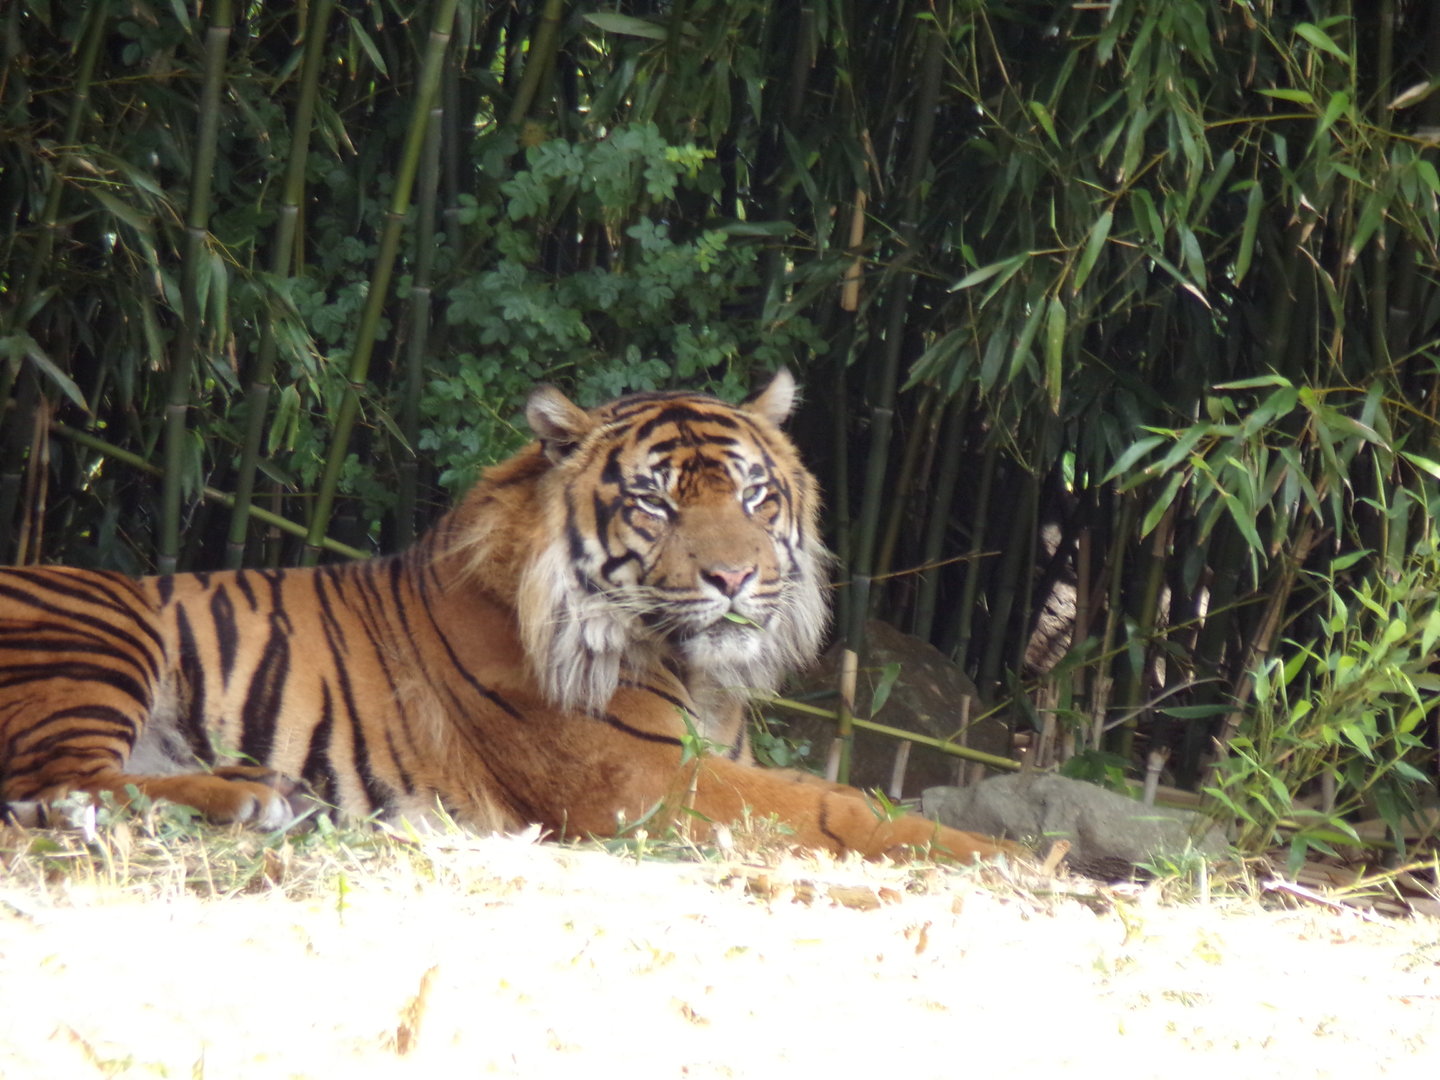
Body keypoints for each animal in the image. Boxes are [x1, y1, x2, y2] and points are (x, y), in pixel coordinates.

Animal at [0, 371, 1013, 861]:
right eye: (655, 503)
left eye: (756, 496)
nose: (735, 577)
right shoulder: (643, 780)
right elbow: (847, 807)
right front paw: (1017, 856)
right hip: (99, 628)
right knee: (59, 787)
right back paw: (255, 798)